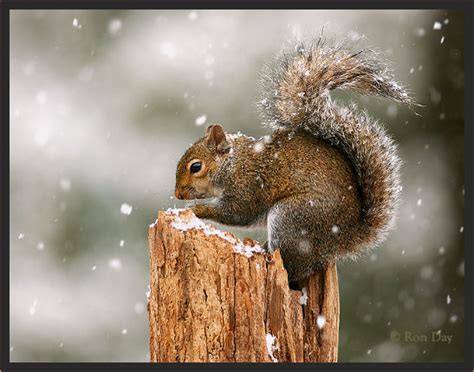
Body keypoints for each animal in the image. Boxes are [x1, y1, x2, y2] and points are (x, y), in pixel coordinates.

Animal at [174, 36, 414, 284]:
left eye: (196, 167)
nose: (178, 194)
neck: (233, 163)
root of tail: (345, 238)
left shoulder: (247, 186)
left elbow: (238, 212)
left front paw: (198, 210)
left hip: (293, 218)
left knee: (293, 266)